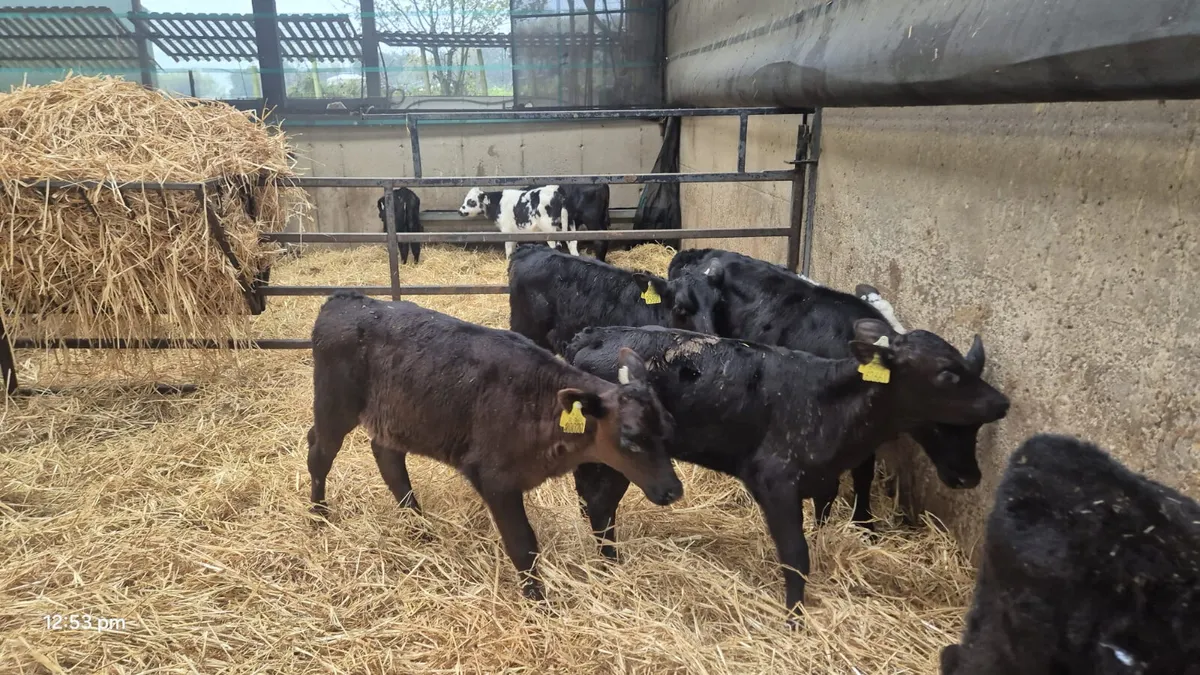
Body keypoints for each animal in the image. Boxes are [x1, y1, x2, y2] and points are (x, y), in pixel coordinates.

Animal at [306, 291, 683, 601]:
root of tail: (345, 299)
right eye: (630, 437)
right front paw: (540, 603)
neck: (539, 404)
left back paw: (419, 525)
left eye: (667, 426)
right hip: (334, 404)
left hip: (395, 416)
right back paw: (318, 515)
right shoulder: (494, 479)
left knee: (388, 457)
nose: (673, 490)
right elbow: (523, 544)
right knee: (320, 452)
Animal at [566, 322, 1009, 617]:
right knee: (602, 504)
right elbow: (796, 553)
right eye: (948, 374)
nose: (1001, 402)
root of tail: (590, 335)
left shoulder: (823, 479)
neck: (827, 403)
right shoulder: (773, 479)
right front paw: (795, 617)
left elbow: (823, 515)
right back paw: (611, 565)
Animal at [667, 248, 993, 529]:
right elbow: (826, 486)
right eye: (940, 413)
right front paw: (821, 527)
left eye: (978, 424)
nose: (968, 478)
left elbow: (863, 476)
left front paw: (865, 524)